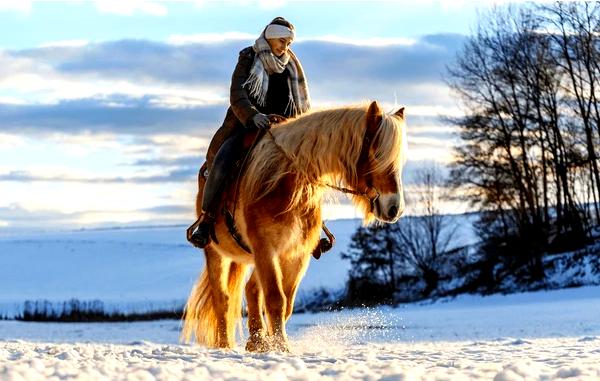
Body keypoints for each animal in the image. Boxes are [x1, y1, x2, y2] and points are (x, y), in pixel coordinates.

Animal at [183, 100, 408, 350]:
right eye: (377, 155)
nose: (395, 208)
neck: (287, 180)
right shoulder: (265, 249)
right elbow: (275, 299)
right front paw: (281, 346)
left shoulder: (296, 254)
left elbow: (287, 302)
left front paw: (271, 343)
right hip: (216, 253)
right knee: (222, 298)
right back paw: (225, 345)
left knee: (251, 289)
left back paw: (256, 342)